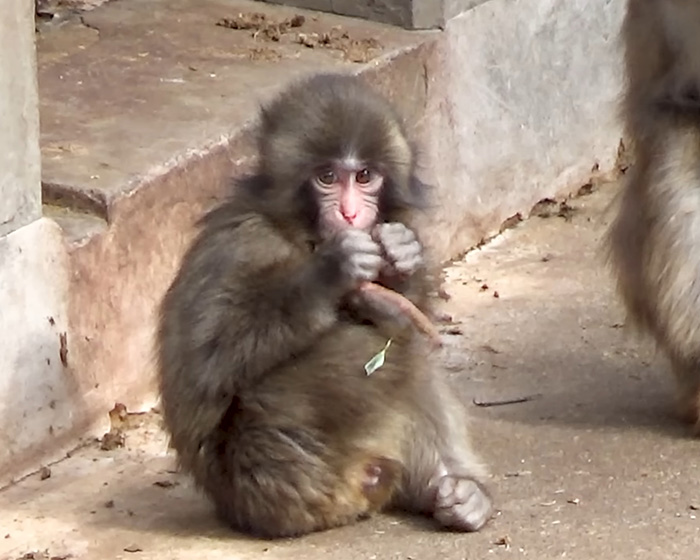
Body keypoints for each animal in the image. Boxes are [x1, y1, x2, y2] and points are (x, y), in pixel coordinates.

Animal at [155, 72, 494, 539]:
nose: (350, 214)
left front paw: (402, 256)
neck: (303, 234)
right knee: (388, 354)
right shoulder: (238, 243)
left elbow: (405, 311)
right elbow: (207, 361)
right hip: (278, 474)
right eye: (328, 177)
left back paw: (457, 494)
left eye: (365, 176)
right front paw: (333, 271)